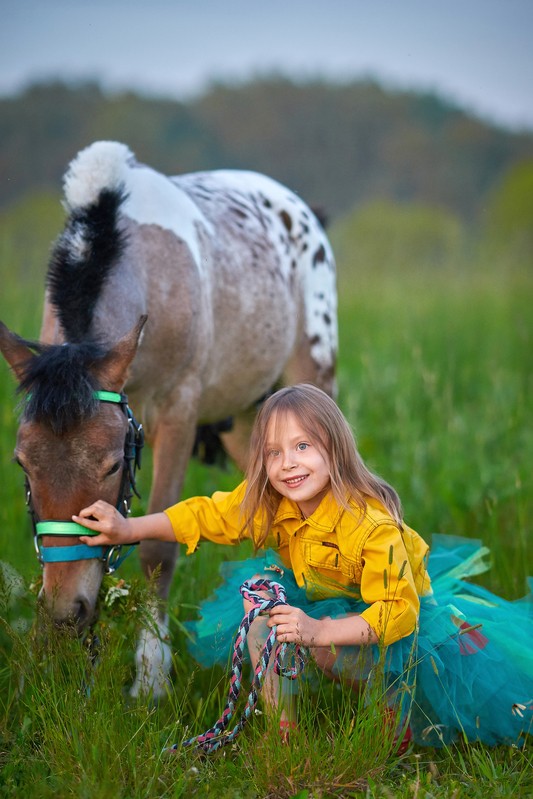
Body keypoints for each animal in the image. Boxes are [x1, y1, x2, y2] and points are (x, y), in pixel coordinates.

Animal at [0, 144, 336, 700]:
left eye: (114, 466)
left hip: (314, 378)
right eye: (23, 465)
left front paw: (151, 675)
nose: (66, 613)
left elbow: (159, 546)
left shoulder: (178, 414)